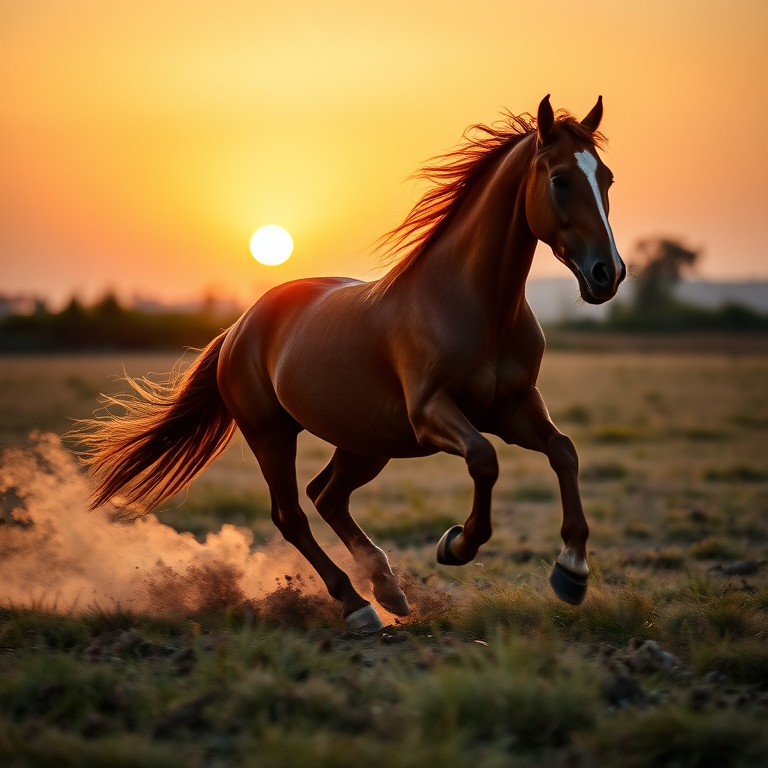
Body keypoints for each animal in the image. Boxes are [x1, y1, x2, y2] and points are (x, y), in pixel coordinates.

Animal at [79, 95, 625, 633]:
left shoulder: (513, 408)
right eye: (560, 179)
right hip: (272, 434)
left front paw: (572, 573)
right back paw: (357, 605)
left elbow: (563, 451)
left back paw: (387, 588)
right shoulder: (431, 414)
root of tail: (238, 327)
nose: (608, 273)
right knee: (292, 513)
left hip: (366, 442)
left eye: (607, 178)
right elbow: (483, 459)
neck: (477, 307)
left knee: (327, 496)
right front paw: (456, 545)